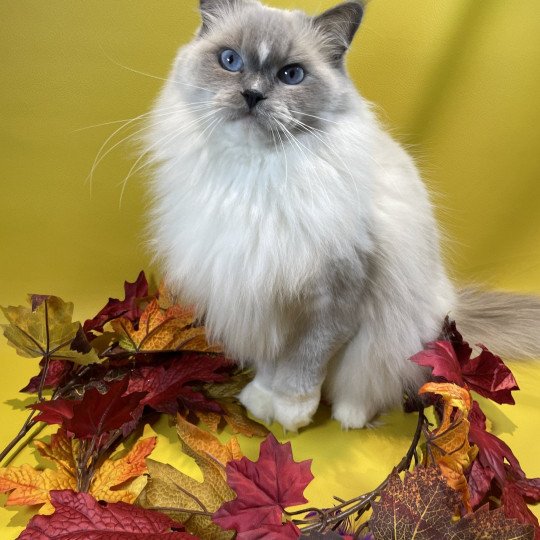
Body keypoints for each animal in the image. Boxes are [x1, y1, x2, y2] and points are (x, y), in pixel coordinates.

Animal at [144, 0, 540, 430]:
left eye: (291, 75)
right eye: (229, 61)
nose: (252, 94)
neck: (256, 178)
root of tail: (453, 304)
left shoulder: (333, 302)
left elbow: (303, 366)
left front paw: (291, 413)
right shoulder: (261, 296)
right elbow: (272, 364)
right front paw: (262, 402)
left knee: (376, 384)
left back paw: (350, 415)